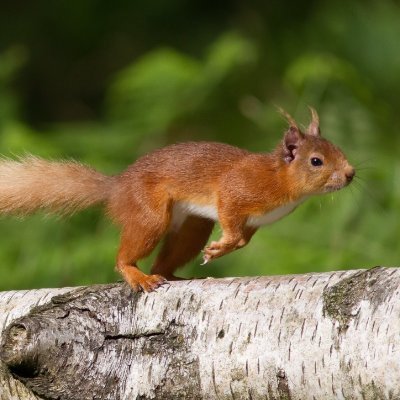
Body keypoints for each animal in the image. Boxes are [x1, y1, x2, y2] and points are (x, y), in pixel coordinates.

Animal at [0, 108, 356, 292]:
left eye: (338, 149)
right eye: (316, 161)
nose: (351, 174)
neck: (279, 180)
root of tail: (116, 188)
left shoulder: (254, 221)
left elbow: (242, 240)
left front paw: (219, 250)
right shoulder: (234, 193)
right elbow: (233, 226)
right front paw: (220, 247)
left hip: (191, 227)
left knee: (165, 261)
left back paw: (176, 276)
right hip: (150, 214)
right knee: (127, 257)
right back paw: (139, 276)